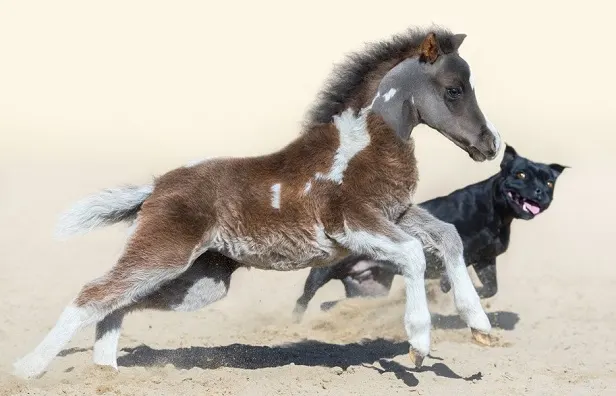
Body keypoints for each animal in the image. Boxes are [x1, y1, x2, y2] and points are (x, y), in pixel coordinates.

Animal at [13, 26, 500, 378]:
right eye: (454, 90)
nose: (490, 145)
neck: (361, 144)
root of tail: (156, 187)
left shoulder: (396, 213)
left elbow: (448, 237)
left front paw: (480, 327)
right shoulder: (355, 224)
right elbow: (415, 254)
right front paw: (419, 345)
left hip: (201, 281)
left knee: (120, 301)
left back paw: (105, 370)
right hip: (163, 253)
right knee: (95, 293)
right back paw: (28, 368)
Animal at [294, 144, 568, 320]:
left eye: (549, 181)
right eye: (520, 174)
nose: (540, 192)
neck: (498, 214)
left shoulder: (485, 259)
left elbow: (491, 288)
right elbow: (452, 271)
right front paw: (446, 287)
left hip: (371, 288)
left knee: (337, 303)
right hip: (321, 273)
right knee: (304, 299)